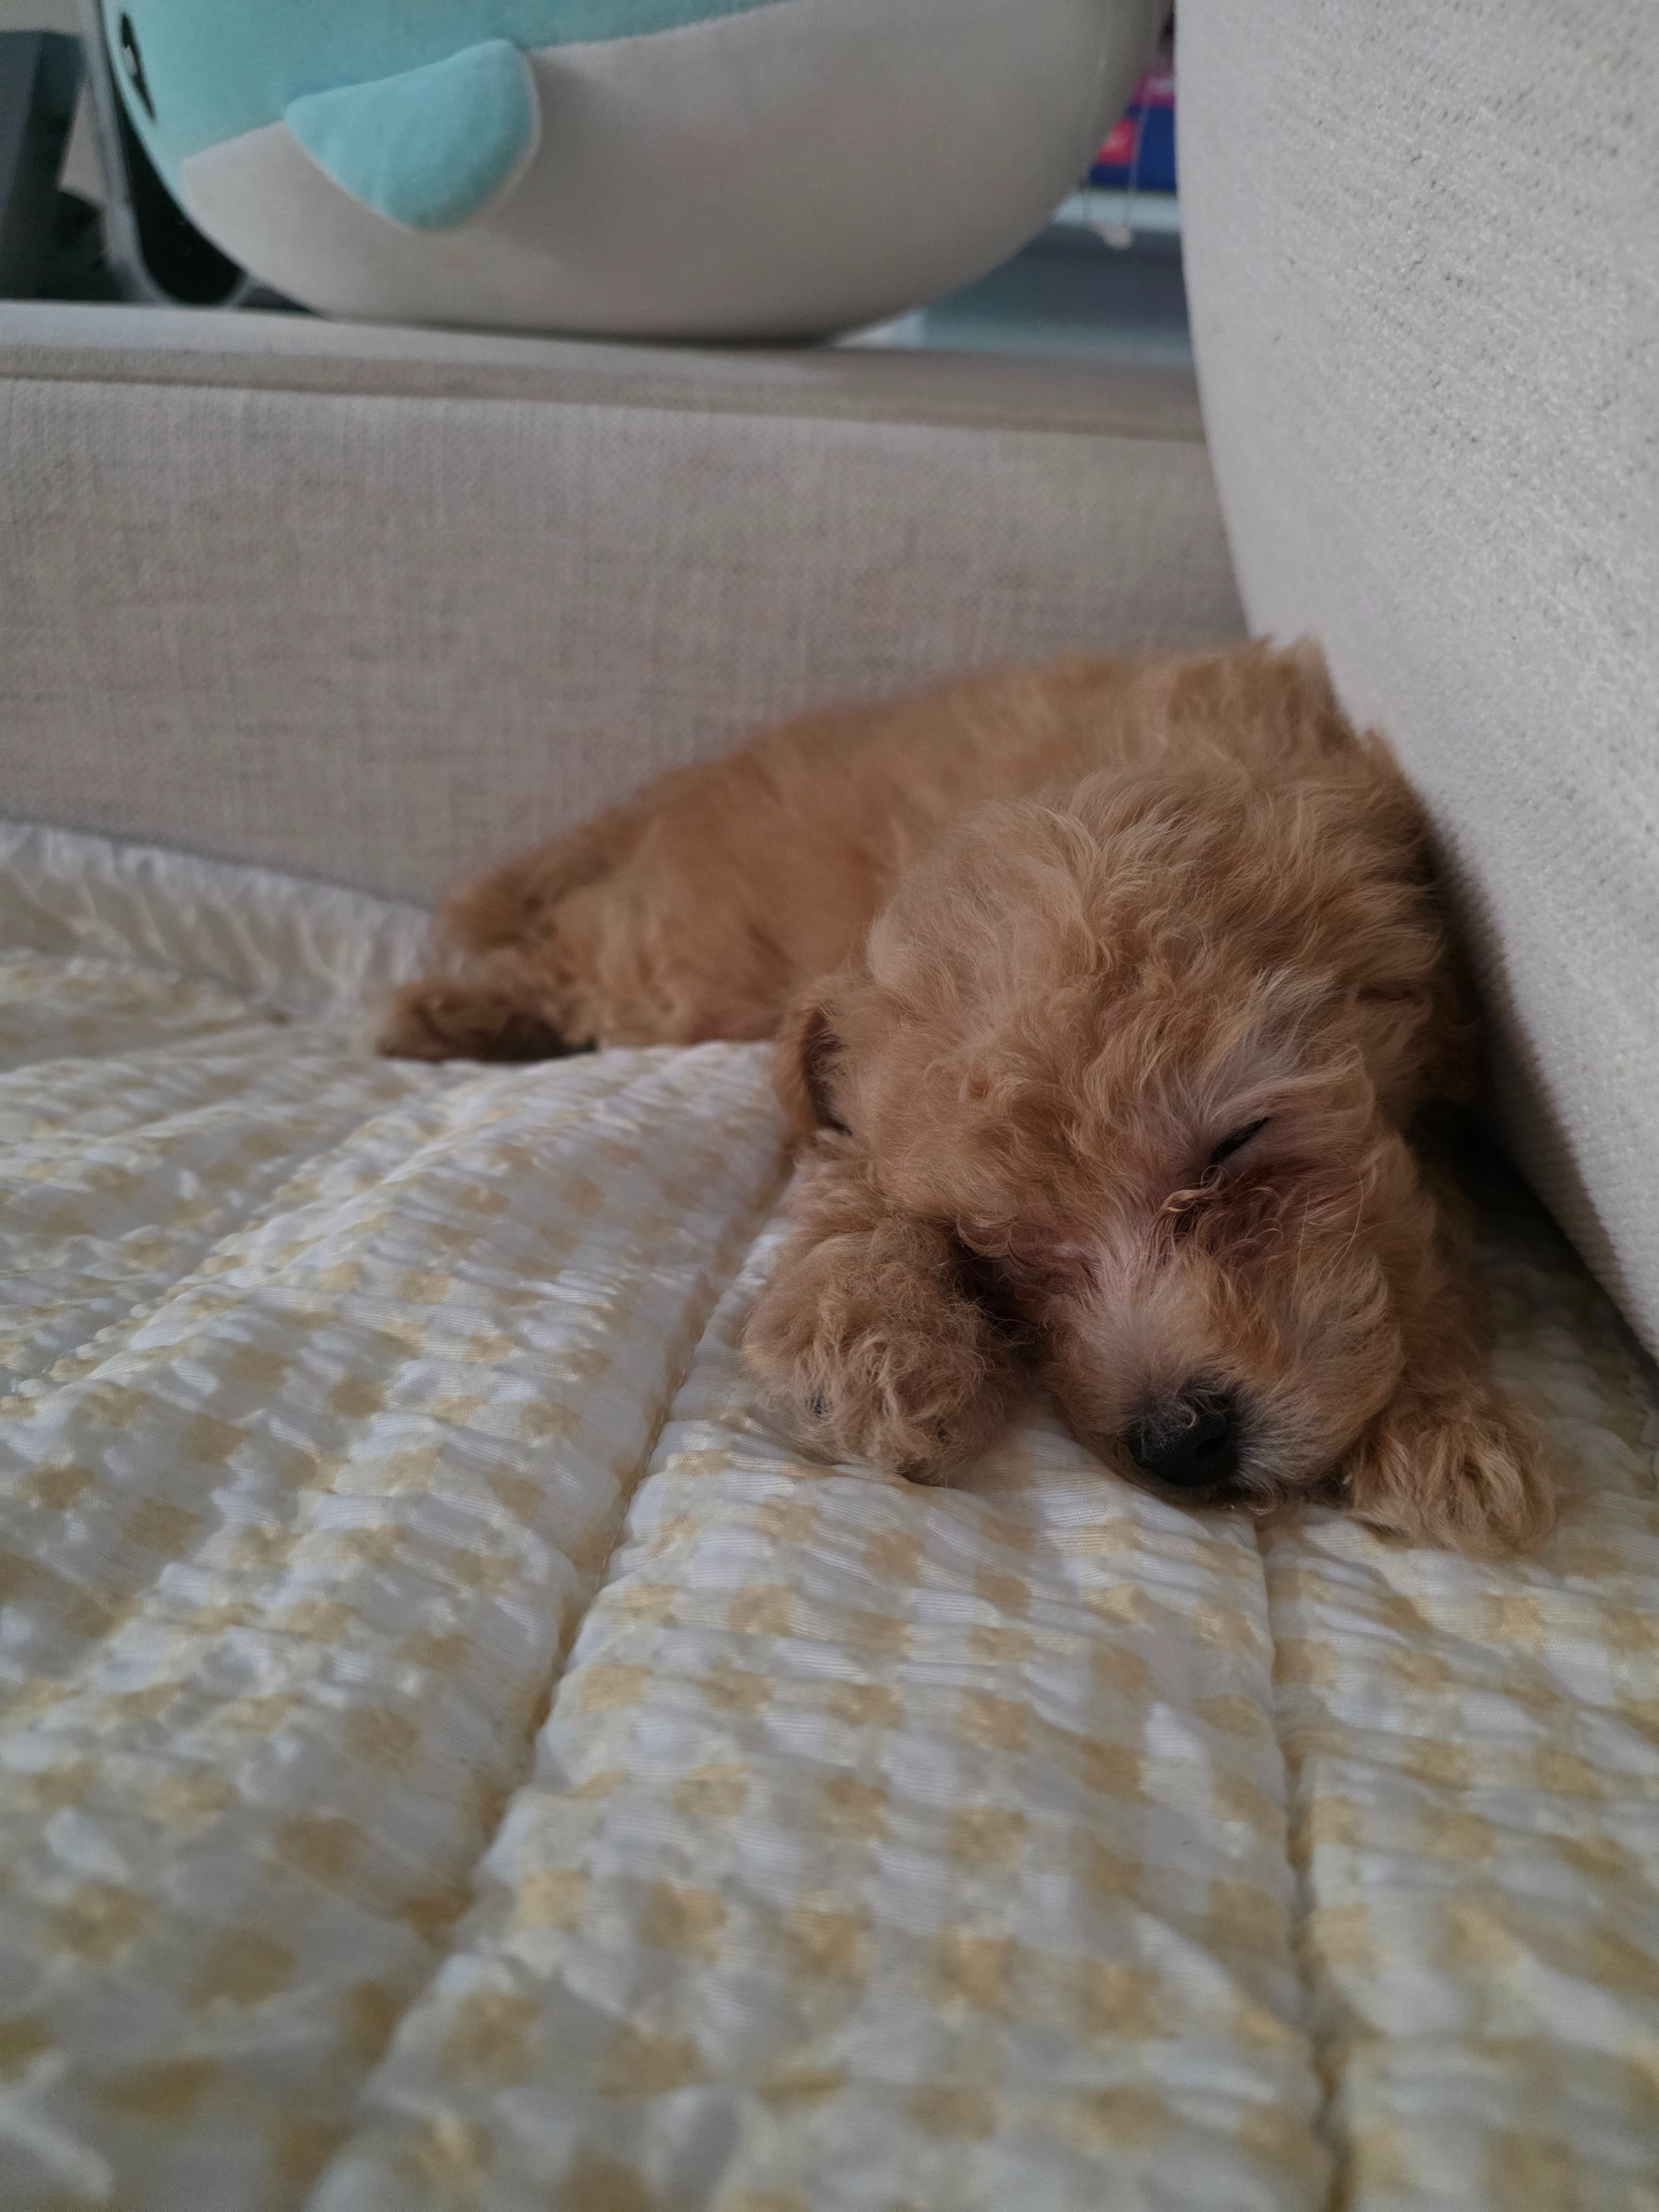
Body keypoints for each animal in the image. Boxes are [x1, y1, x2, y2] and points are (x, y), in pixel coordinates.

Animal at [381, 640, 1550, 1555]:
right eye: (995, 1246)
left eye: (1234, 1148)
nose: (1180, 1443)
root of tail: (681, 787)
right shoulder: (843, 1078)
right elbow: (858, 1193)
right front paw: (873, 1343)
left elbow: (1418, 1228)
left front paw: (1441, 1421)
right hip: (673, 958)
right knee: (565, 954)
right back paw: (449, 1012)